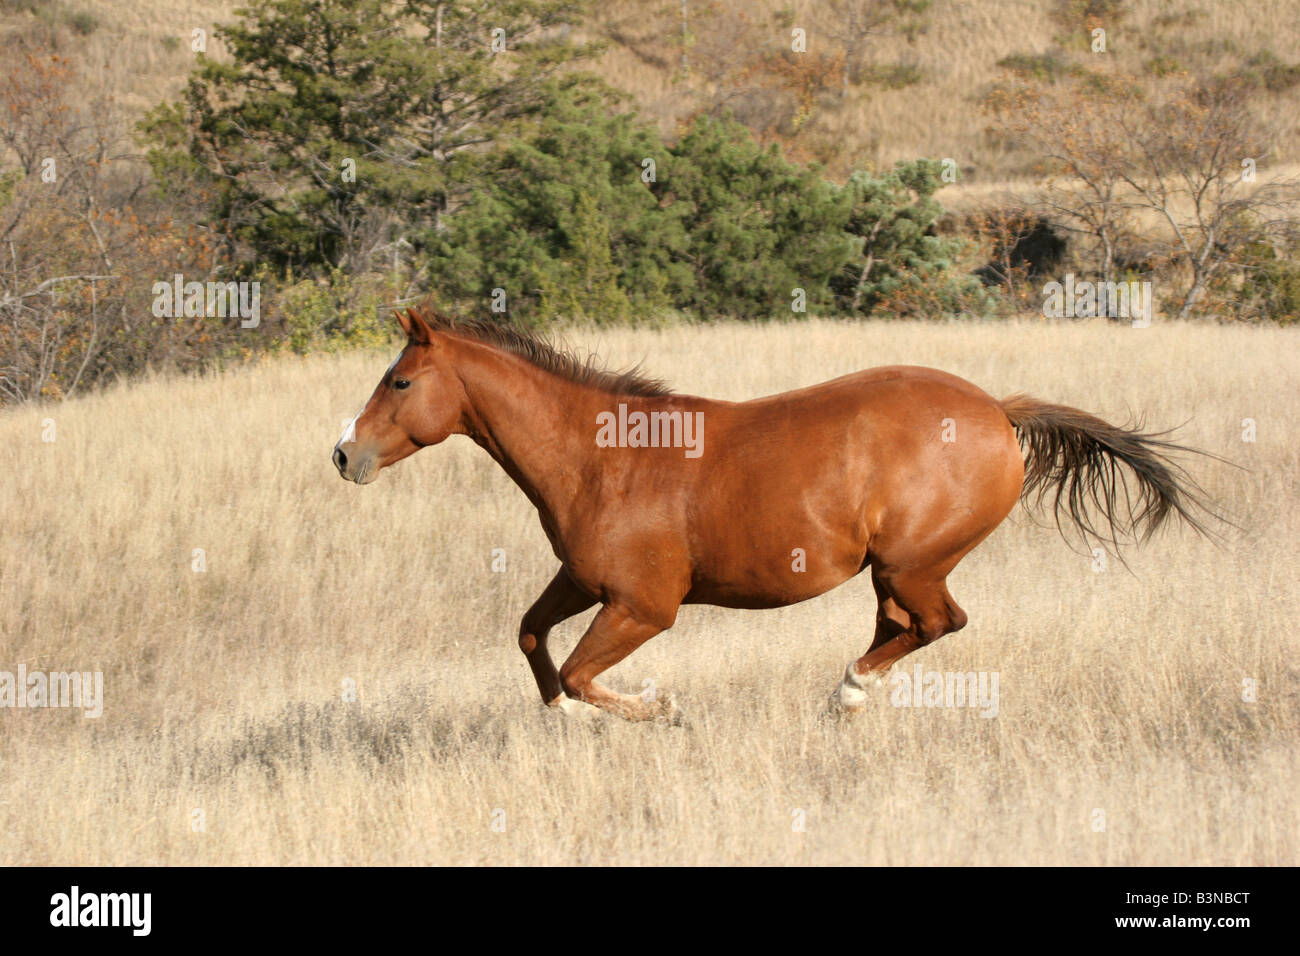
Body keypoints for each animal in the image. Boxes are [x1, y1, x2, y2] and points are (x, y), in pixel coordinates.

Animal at [332, 303, 1216, 723]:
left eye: (400, 382)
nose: (344, 455)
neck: (602, 457)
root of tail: (998, 411)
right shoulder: (584, 584)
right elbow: (530, 638)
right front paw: (568, 720)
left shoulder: (643, 607)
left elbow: (584, 673)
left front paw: (660, 709)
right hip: (891, 571)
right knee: (905, 626)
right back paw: (850, 697)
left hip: (914, 562)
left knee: (938, 624)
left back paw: (848, 693)